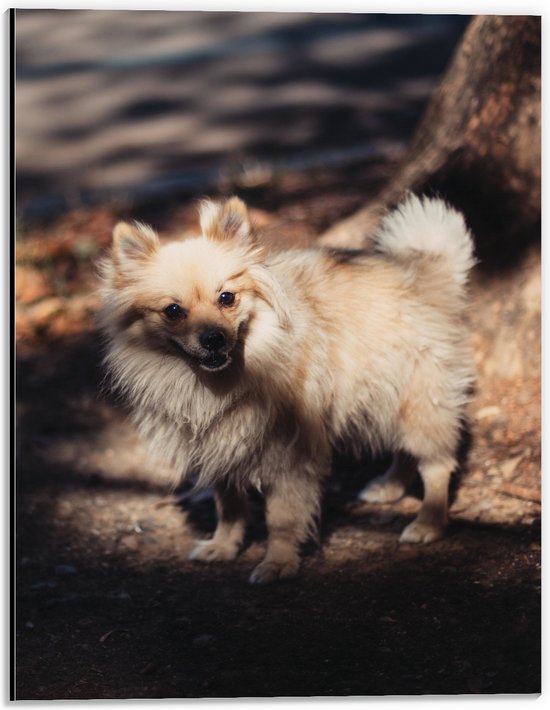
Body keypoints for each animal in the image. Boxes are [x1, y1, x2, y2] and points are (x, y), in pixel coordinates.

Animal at [100, 193, 478, 584]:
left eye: (227, 298)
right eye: (173, 311)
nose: (213, 338)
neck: (221, 380)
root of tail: (428, 269)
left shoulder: (290, 453)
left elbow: (280, 517)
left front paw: (278, 562)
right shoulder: (221, 446)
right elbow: (229, 507)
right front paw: (223, 546)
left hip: (420, 400)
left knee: (436, 463)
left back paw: (429, 521)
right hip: (383, 396)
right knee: (404, 449)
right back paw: (389, 487)